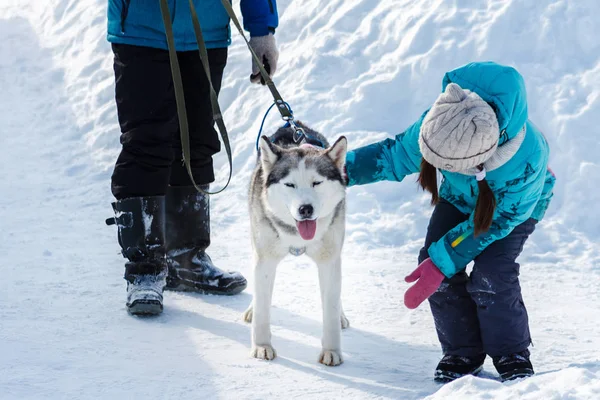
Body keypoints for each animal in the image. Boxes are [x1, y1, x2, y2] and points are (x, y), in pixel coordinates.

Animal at [241, 122, 350, 366]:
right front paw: (261, 346)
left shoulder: (329, 261)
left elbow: (330, 308)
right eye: (290, 184)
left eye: (316, 182)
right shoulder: (265, 260)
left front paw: (331, 350)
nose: (305, 209)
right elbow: (263, 309)